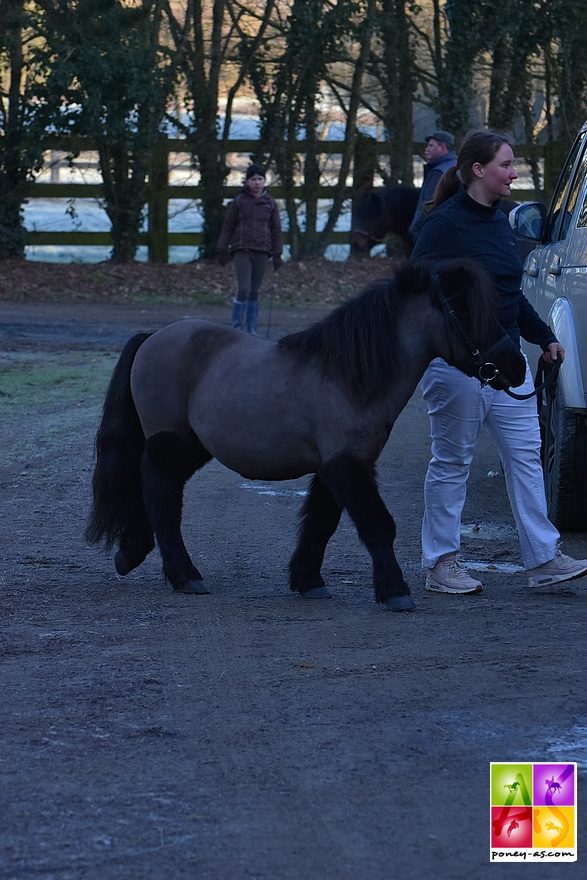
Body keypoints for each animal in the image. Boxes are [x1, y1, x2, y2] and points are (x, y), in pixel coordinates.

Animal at [85, 258, 524, 608]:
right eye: (463, 311)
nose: (516, 366)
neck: (349, 376)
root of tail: (154, 338)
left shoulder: (336, 466)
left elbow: (321, 522)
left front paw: (308, 580)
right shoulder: (347, 465)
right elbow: (378, 525)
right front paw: (395, 590)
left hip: (193, 446)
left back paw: (132, 553)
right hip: (169, 440)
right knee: (161, 496)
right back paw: (183, 574)